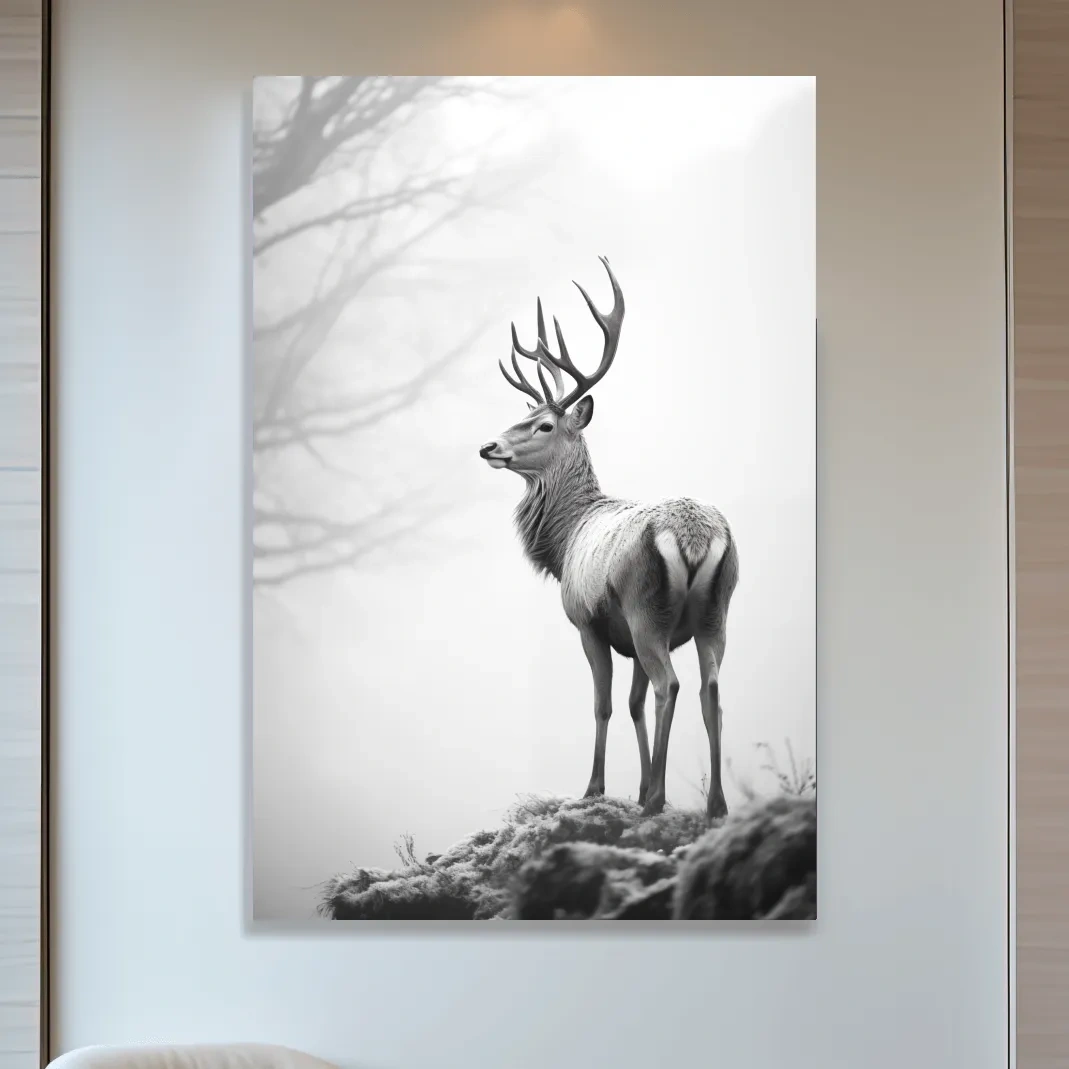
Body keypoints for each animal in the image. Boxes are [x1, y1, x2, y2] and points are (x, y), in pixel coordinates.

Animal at [479, 257, 739, 819]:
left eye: (544, 424)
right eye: (523, 415)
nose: (488, 446)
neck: (565, 540)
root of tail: (694, 537)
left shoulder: (588, 621)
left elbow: (604, 704)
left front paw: (597, 788)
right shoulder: (628, 638)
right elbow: (634, 704)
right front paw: (637, 785)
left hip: (646, 607)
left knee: (671, 684)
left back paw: (659, 799)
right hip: (715, 611)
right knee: (709, 689)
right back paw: (714, 805)